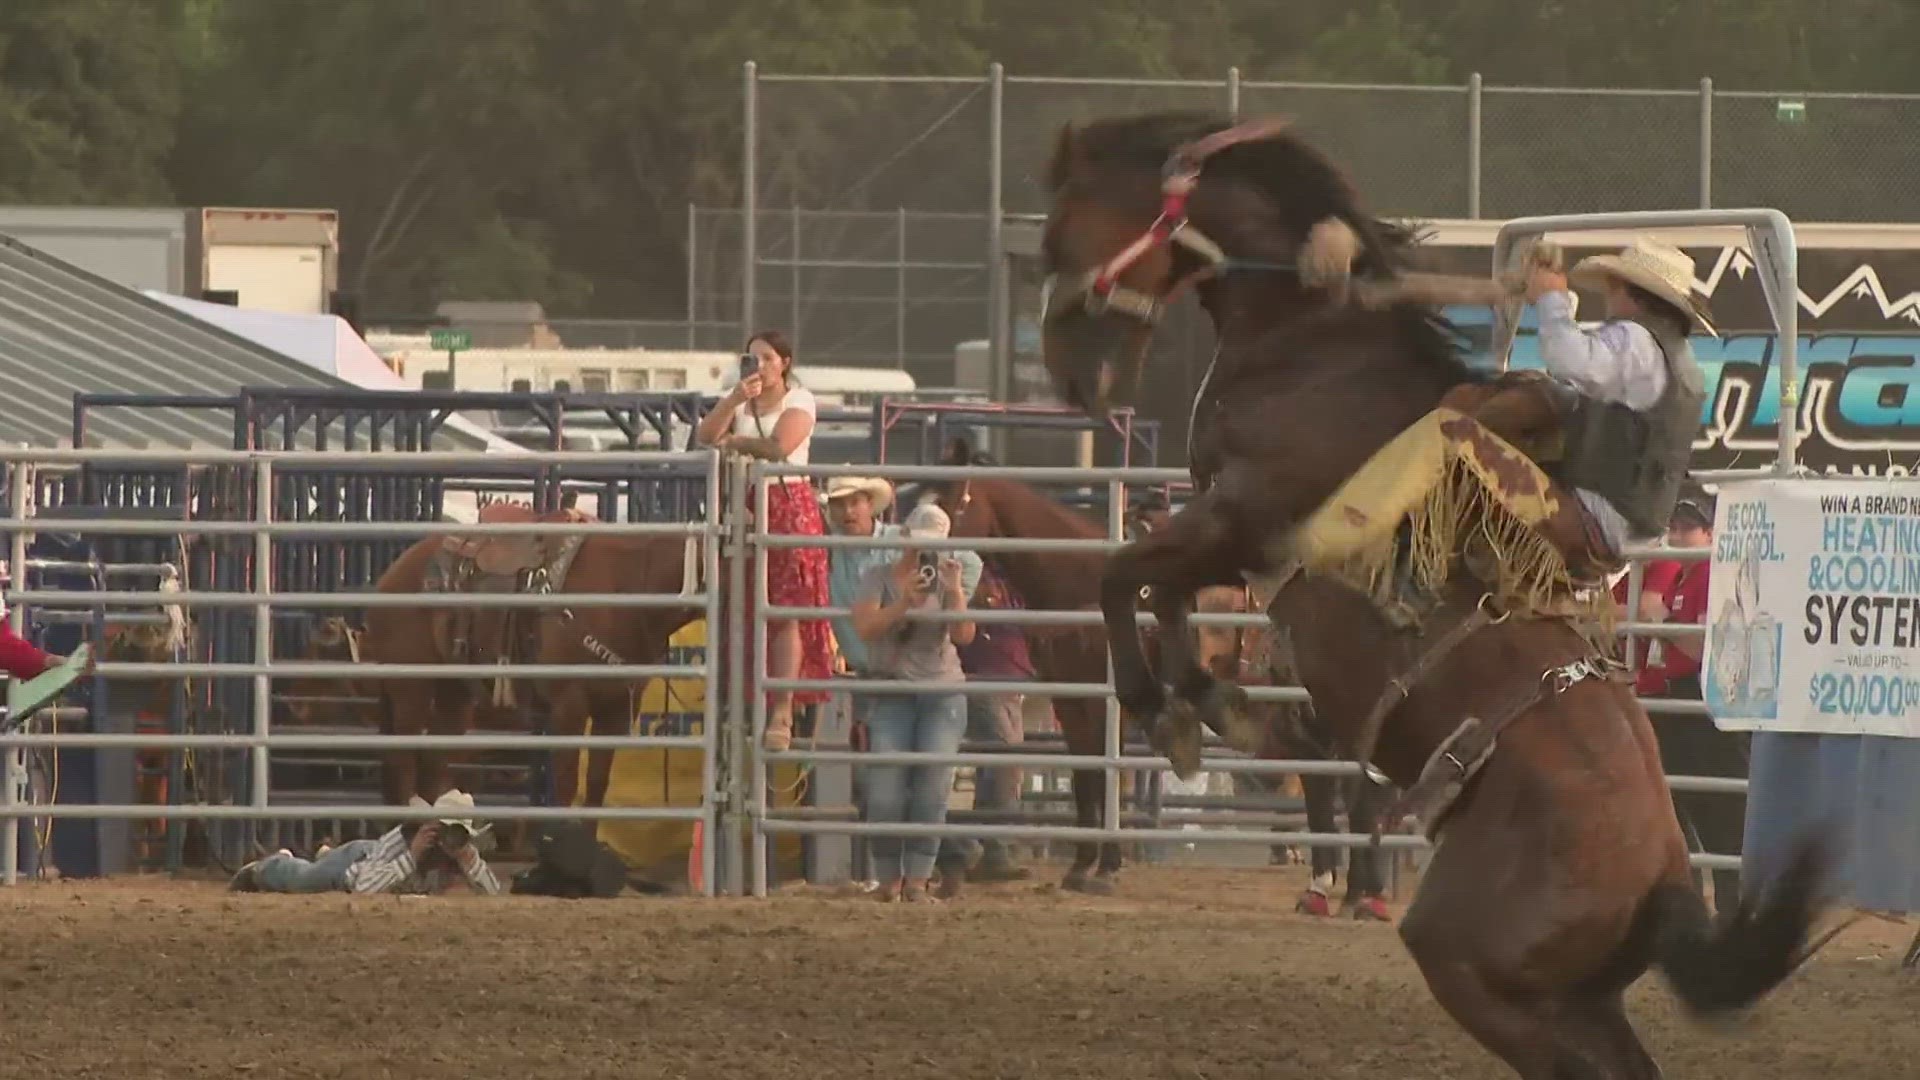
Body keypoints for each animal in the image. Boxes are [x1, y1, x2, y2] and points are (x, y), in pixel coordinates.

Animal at [1036, 111, 1827, 1076]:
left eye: (1058, 231)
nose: (1071, 378)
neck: (1313, 344)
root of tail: (1667, 882)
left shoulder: (1241, 515)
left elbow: (1123, 574)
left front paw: (1170, 709)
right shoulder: (1231, 536)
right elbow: (1163, 595)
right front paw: (1213, 705)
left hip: (1469, 963)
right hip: (1575, 996)